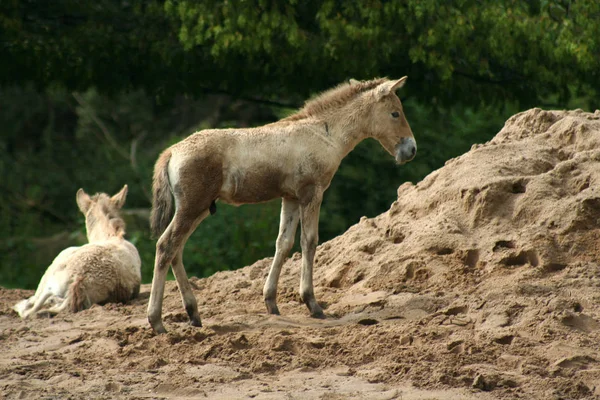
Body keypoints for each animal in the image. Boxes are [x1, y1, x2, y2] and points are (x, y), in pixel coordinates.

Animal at [149, 76, 418, 332]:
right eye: (395, 113)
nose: (411, 149)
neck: (324, 133)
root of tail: (172, 151)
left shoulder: (290, 198)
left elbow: (284, 243)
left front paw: (271, 302)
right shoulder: (311, 193)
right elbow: (309, 241)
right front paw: (312, 303)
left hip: (200, 209)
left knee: (176, 250)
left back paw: (193, 314)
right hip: (192, 207)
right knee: (165, 246)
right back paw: (156, 321)